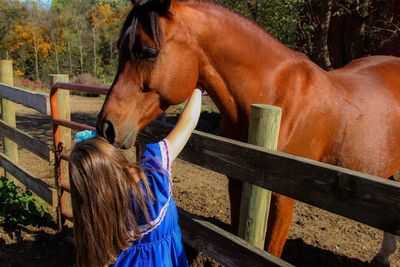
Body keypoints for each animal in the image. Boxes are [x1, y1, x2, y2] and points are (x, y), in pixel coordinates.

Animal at [97, 0, 400, 264]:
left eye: (149, 52)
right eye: (119, 47)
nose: (106, 126)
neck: (274, 95)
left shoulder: (282, 197)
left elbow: (270, 251)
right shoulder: (237, 180)